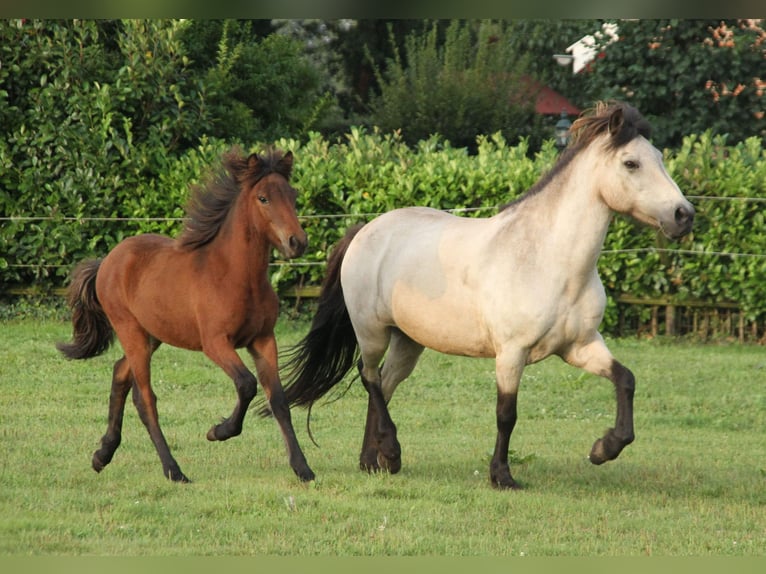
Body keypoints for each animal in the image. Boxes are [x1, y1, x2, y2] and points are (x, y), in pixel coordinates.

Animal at [56, 148, 316, 486]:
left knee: (120, 373)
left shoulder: (263, 340)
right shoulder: (215, 343)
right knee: (144, 398)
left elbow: (279, 400)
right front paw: (218, 431)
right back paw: (173, 470)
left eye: (293, 195)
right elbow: (246, 384)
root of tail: (107, 261)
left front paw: (302, 468)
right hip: (131, 331)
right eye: (263, 198)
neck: (236, 276)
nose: (297, 242)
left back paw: (103, 454)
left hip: (152, 335)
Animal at [280, 103, 696, 490]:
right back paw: (391, 452)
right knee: (368, 376)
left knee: (383, 381)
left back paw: (373, 460)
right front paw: (502, 476)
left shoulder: (580, 346)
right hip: (372, 332)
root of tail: (365, 230)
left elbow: (626, 380)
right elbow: (506, 414)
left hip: (409, 341)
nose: (684, 215)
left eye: (660, 158)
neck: (548, 260)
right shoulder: (511, 353)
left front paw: (603, 449)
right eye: (631, 163)